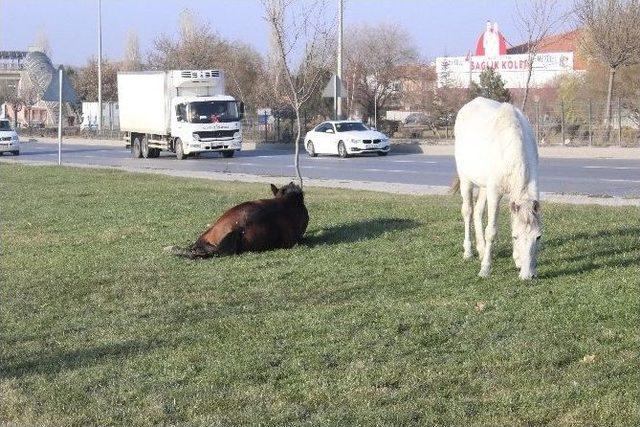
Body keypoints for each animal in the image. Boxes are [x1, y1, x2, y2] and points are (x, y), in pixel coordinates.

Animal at [452, 97, 544, 280]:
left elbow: (513, 220)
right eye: (515, 237)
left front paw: (517, 260)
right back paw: (469, 252)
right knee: (468, 211)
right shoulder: (495, 192)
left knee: (478, 212)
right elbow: (492, 231)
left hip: (483, 186)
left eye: (538, 237)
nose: (528, 276)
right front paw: (485, 269)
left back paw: (481, 250)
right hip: (466, 179)